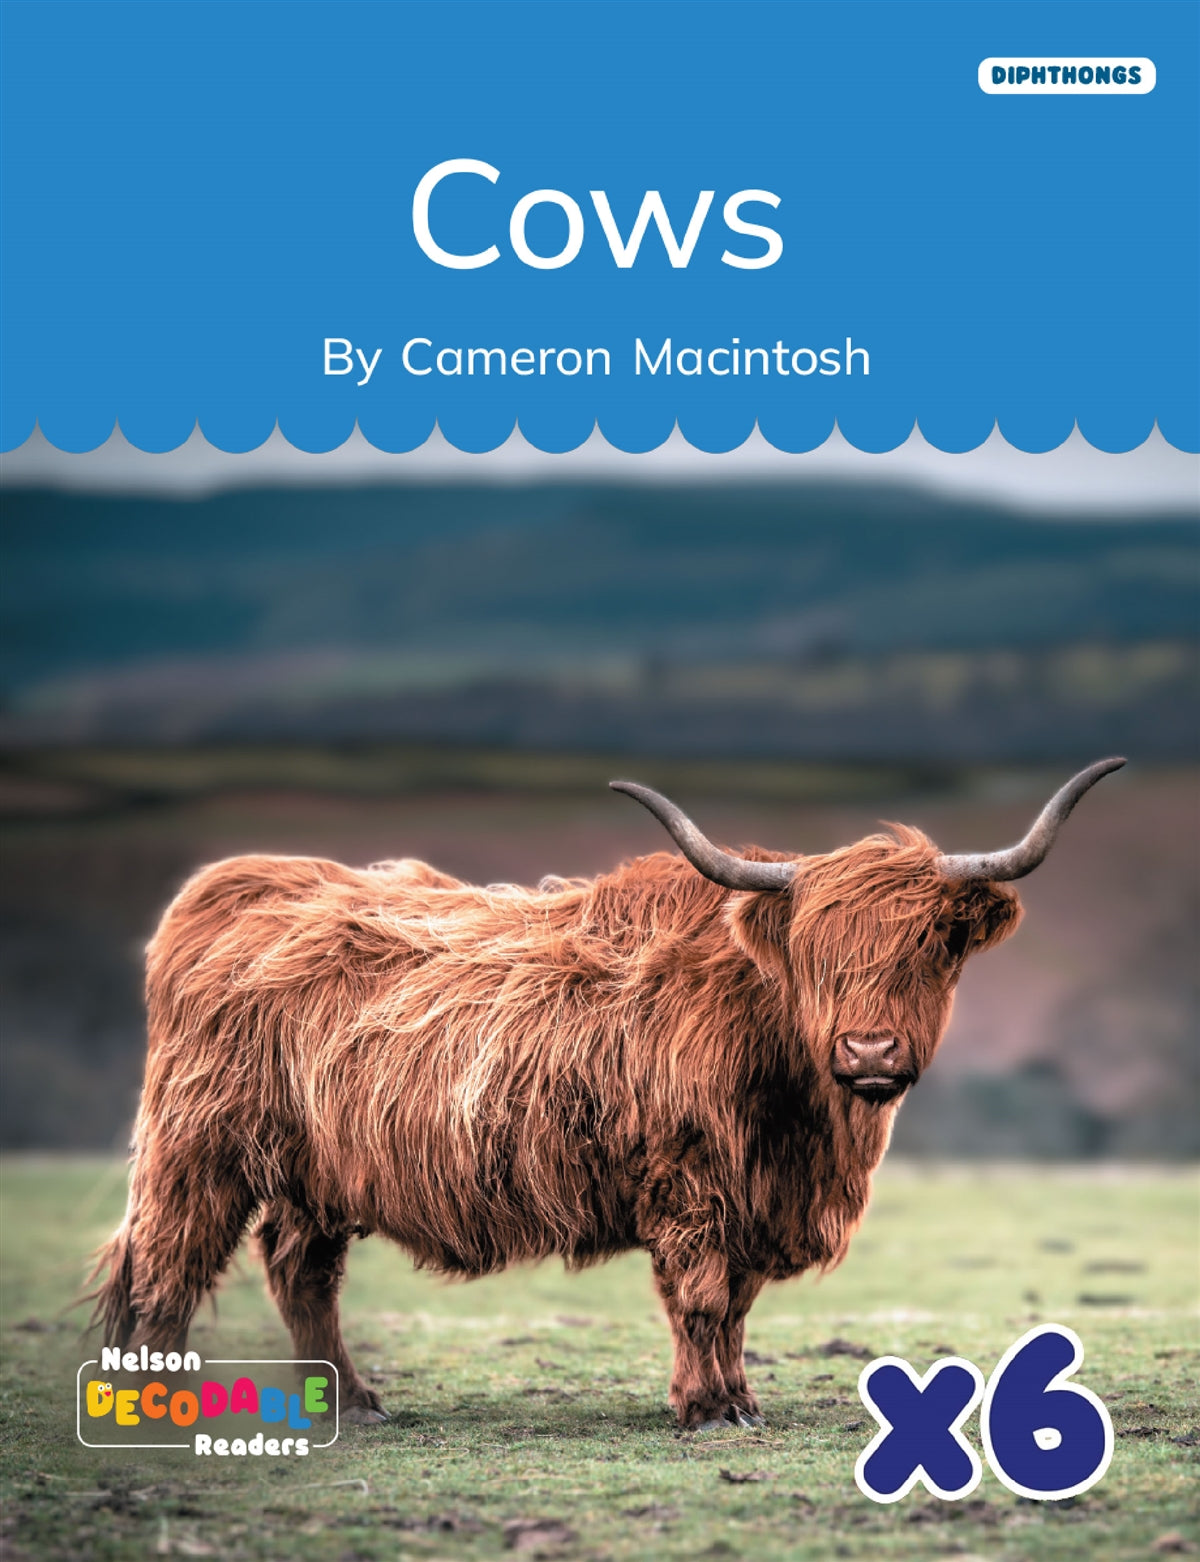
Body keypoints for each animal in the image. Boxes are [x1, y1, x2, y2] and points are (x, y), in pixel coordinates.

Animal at [93, 758, 1122, 1431]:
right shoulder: (691, 1184)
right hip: (198, 1144)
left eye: (934, 943)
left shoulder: (756, 1198)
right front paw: (706, 1410)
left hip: (321, 1170)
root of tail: (243, 881)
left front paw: (739, 1399)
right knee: (168, 1265)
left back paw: (354, 1401)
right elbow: (701, 1297)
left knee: (299, 1271)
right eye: (814, 949)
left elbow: (737, 1305)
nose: (868, 1049)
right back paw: (164, 1402)